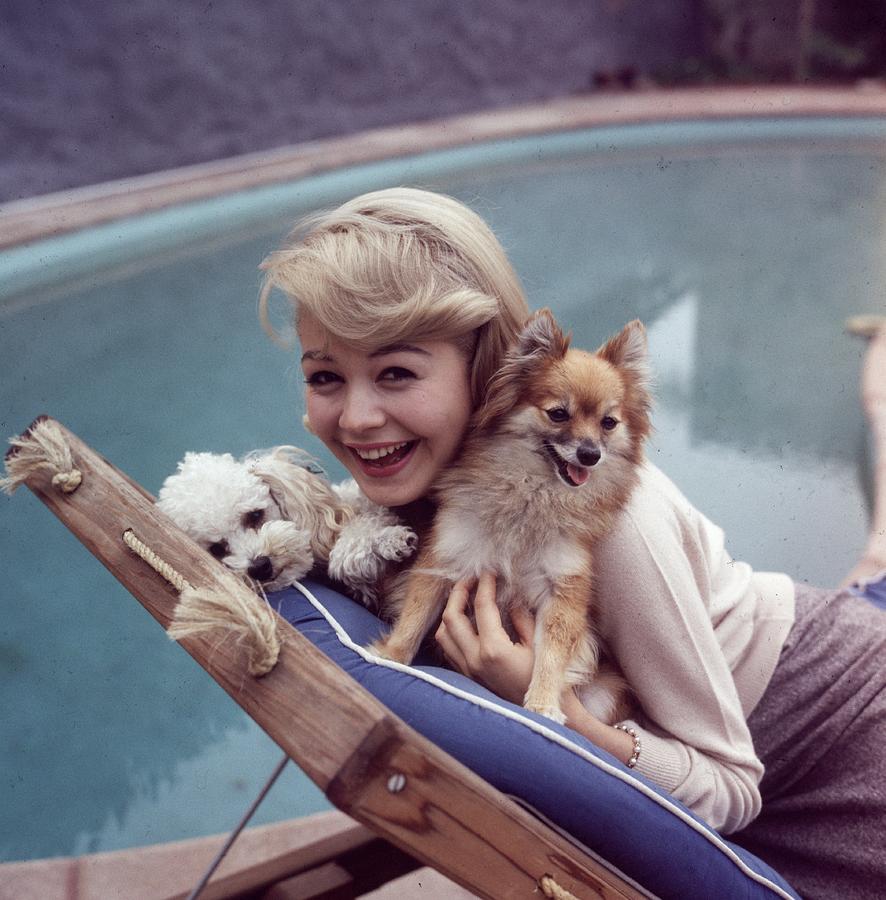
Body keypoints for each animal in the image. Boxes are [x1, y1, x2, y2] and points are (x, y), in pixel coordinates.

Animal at [368, 310, 652, 724]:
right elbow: (414, 617)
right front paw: (390, 655)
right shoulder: (444, 561)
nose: (590, 454)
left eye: (608, 423)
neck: (533, 493)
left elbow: (551, 652)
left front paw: (543, 703)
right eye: (558, 414)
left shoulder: (563, 590)